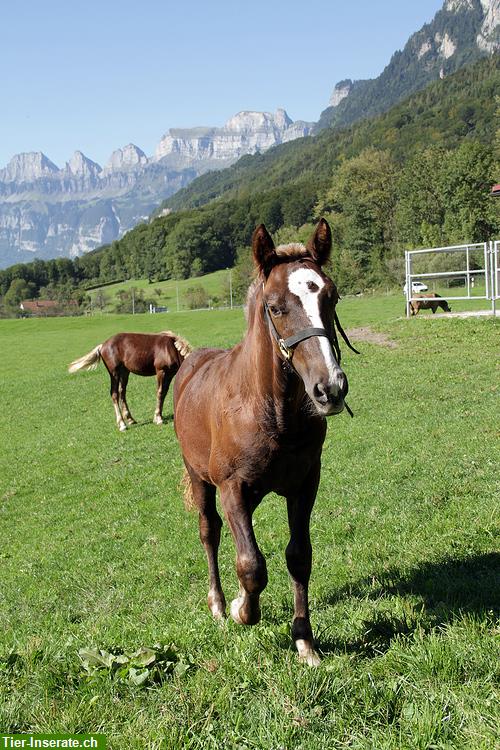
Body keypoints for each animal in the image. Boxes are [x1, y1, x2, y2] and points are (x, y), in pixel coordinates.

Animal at [174, 220, 358, 668]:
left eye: (331, 297)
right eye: (275, 307)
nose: (330, 388)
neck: (271, 412)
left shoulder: (304, 485)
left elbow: (299, 556)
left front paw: (305, 642)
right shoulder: (233, 489)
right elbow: (251, 565)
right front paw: (242, 609)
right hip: (200, 479)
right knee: (209, 531)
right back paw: (219, 603)